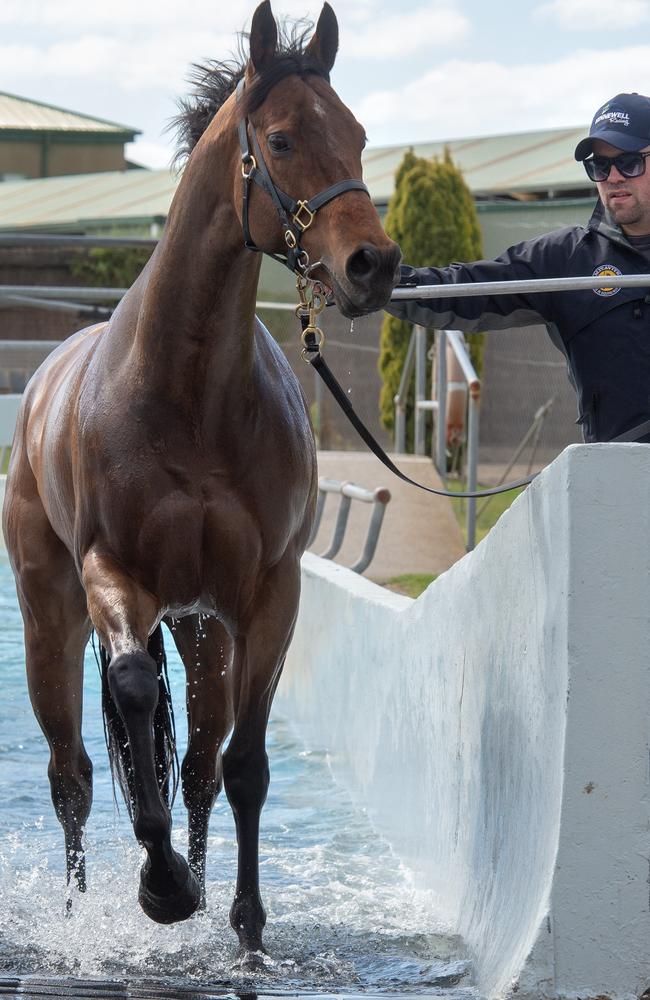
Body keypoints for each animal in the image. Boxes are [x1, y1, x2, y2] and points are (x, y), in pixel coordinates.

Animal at [2, 0, 400, 960]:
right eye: (283, 139)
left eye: (360, 136)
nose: (374, 265)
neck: (185, 397)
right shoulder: (114, 577)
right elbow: (131, 699)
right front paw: (162, 887)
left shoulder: (266, 597)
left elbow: (241, 767)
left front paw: (244, 926)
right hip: (50, 619)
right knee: (73, 773)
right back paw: (81, 918)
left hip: (201, 631)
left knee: (196, 771)